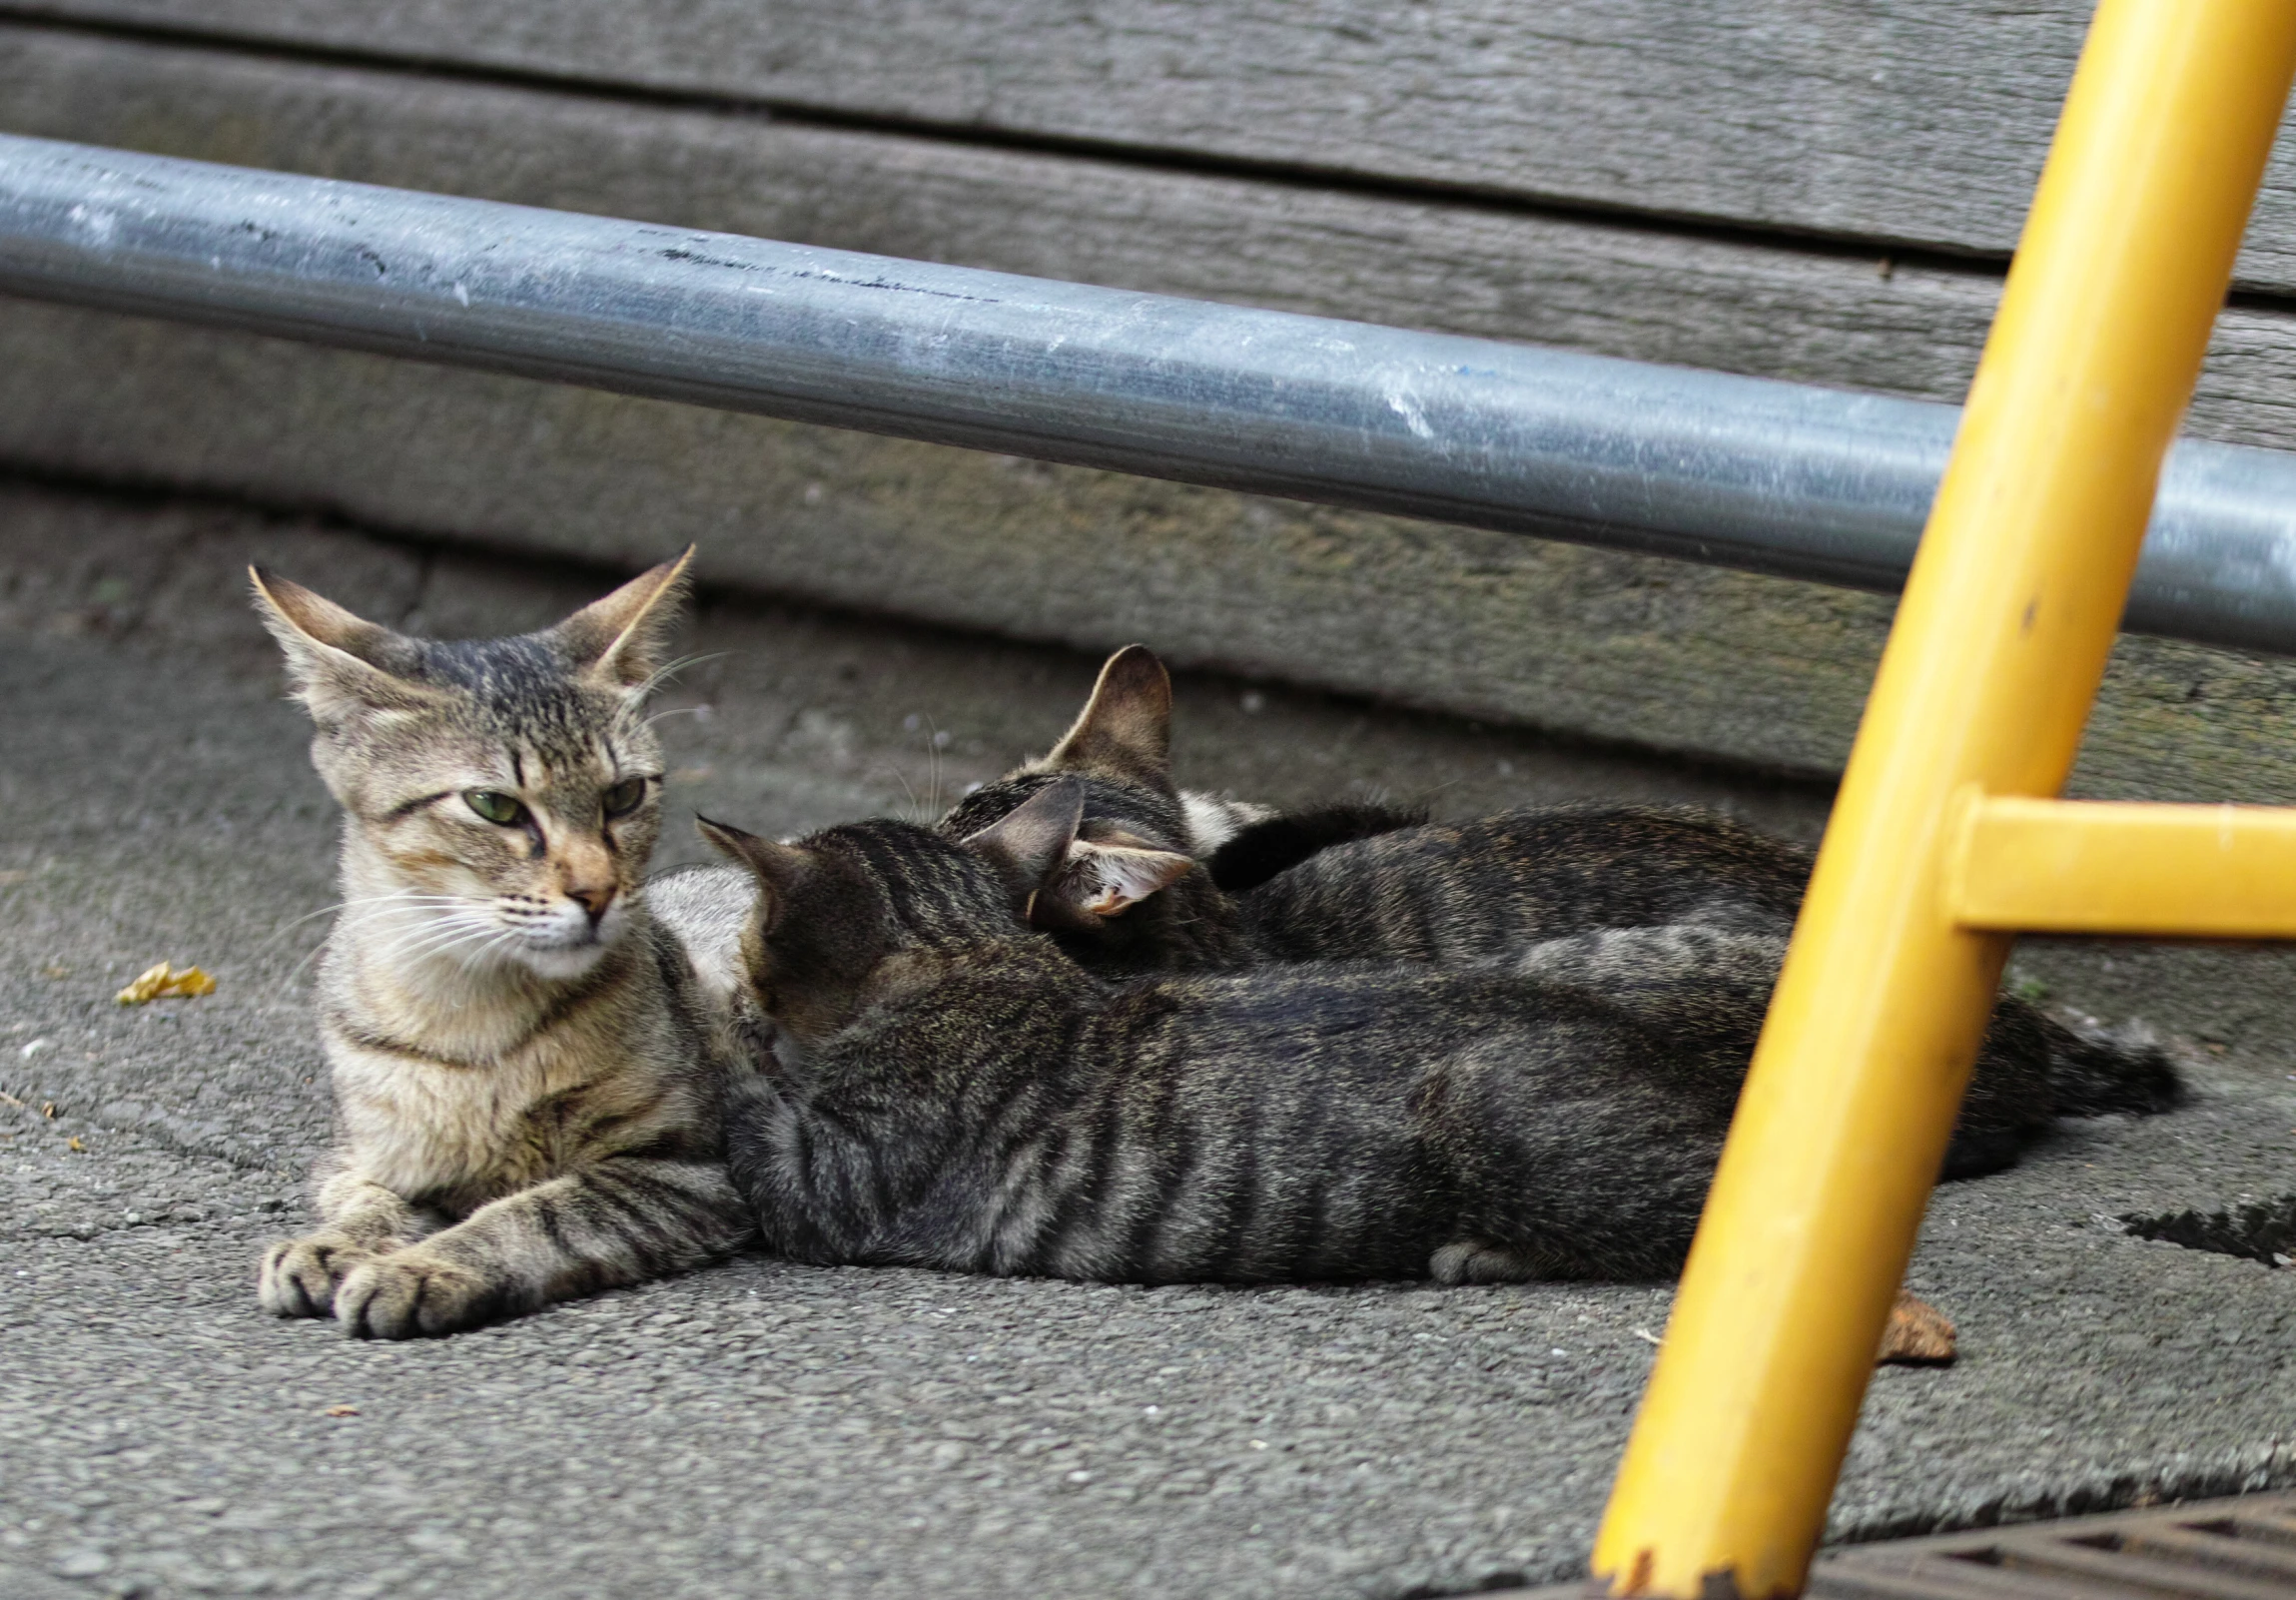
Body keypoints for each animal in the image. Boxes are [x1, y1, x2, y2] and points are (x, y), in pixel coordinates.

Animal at [251, 552, 753, 1331]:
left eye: (623, 797)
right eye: (494, 806)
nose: (596, 891)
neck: (467, 1013)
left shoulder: (688, 1168)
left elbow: (533, 1213)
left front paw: (425, 1266)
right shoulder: (362, 1156)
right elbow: (370, 1199)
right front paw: (336, 1245)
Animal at [697, 780, 1791, 1294]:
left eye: (754, 937)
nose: (746, 967)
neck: (971, 958)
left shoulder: (829, 1187)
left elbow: (749, 1103)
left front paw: (719, 1013)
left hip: (1503, 1111)